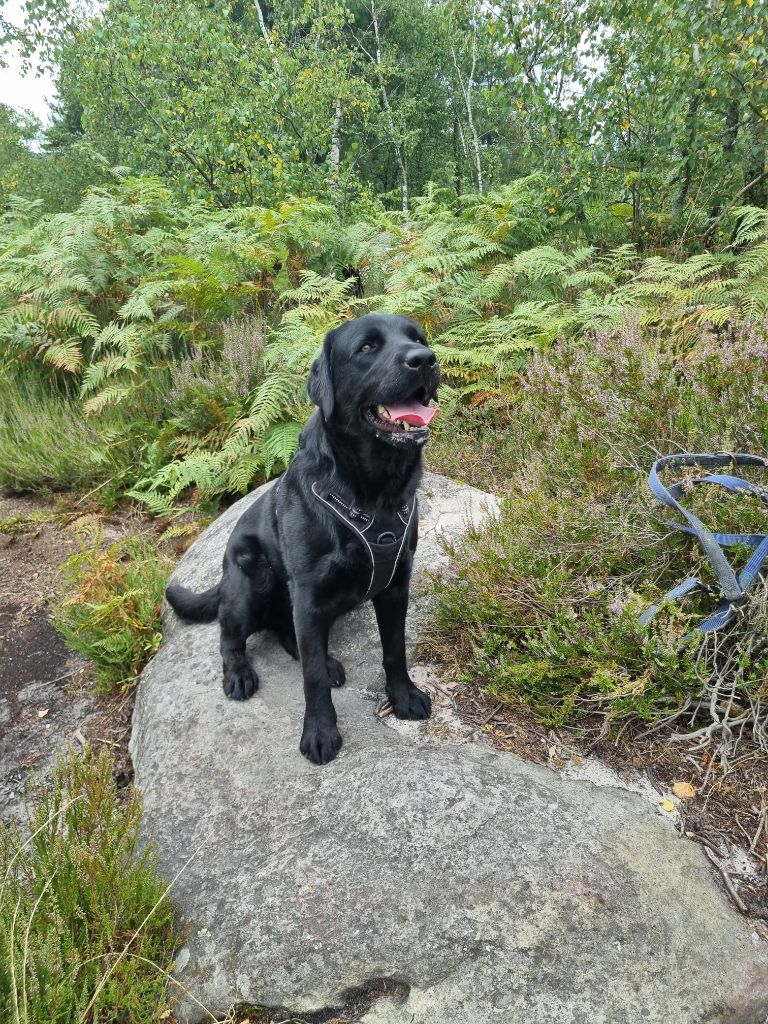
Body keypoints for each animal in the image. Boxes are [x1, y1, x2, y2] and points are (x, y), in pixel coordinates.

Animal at [165, 315, 442, 765]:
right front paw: (320, 732)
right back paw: (240, 673)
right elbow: (311, 679)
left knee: (286, 630)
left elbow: (395, 650)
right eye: (367, 348)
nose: (425, 359)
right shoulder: (309, 593)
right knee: (231, 635)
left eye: (417, 338)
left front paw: (403, 696)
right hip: (251, 580)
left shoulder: (396, 584)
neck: (372, 490)